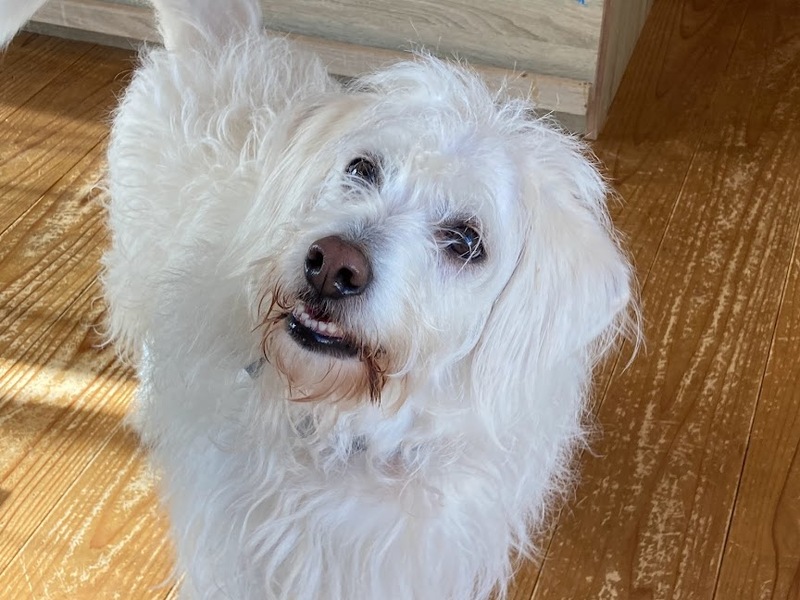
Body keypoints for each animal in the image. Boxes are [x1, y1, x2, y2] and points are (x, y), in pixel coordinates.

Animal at [3, 1, 637, 598]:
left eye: (466, 241)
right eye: (361, 167)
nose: (333, 265)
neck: (345, 428)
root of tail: (221, 43)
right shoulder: (233, 556)